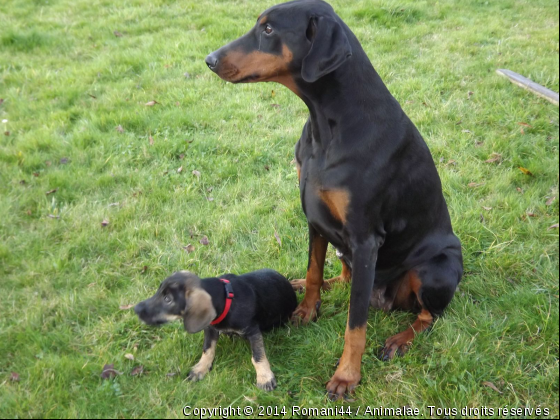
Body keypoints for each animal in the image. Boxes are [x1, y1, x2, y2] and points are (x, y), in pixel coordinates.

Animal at [134, 270, 298, 390]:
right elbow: (207, 350)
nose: (136, 309)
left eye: (167, 299)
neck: (227, 300)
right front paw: (201, 368)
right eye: (159, 291)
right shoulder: (210, 329)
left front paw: (264, 378)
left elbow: (258, 356)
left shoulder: (253, 331)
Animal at [206, 0, 464, 400]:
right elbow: (314, 270)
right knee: (343, 278)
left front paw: (346, 376)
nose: (210, 59)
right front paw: (305, 311)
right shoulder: (314, 217)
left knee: (427, 315)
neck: (328, 125)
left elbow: (355, 324)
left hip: (435, 267)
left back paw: (400, 339)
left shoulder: (365, 238)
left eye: (268, 30)